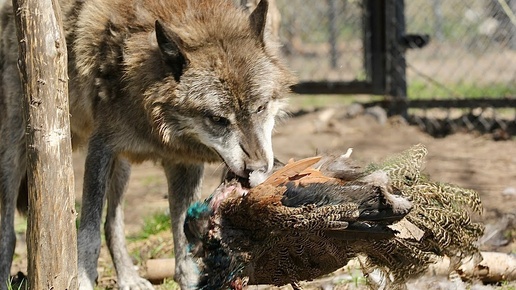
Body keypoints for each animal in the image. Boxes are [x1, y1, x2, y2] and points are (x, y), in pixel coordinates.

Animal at [0, 0, 294, 288]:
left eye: (260, 107)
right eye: (217, 119)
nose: (258, 168)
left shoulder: (184, 163)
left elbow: (184, 238)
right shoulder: (100, 148)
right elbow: (88, 234)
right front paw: (82, 280)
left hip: (122, 167)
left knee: (113, 224)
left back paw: (128, 278)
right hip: (19, 147)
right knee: (9, 231)